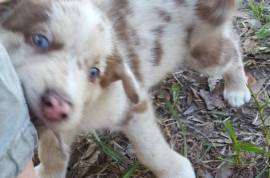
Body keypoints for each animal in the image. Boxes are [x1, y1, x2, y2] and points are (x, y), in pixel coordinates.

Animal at [0, 0, 250, 178]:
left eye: (94, 72)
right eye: (40, 40)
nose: (58, 105)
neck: (90, 104)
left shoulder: (133, 105)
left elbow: (151, 150)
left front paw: (177, 170)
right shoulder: (60, 123)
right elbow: (51, 150)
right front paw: (48, 172)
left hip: (201, 50)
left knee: (232, 50)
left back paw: (237, 89)